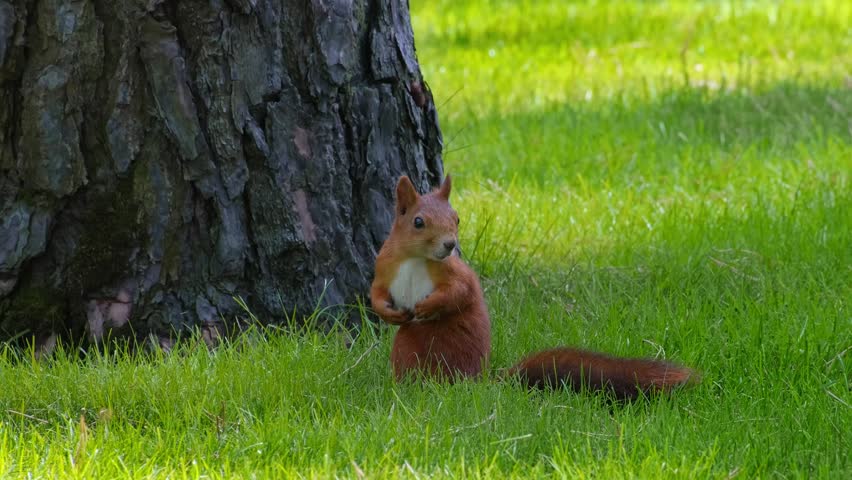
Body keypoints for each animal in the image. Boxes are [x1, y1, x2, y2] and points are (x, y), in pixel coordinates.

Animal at [370, 175, 697, 400]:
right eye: (418, 222)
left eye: (457, 218)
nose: (450, 245)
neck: (416, 258)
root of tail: (475, 380)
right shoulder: (384, 266)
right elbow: (375, 293)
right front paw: (388, 312)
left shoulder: (454, 271)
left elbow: (459, 292)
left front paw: (428, 305)